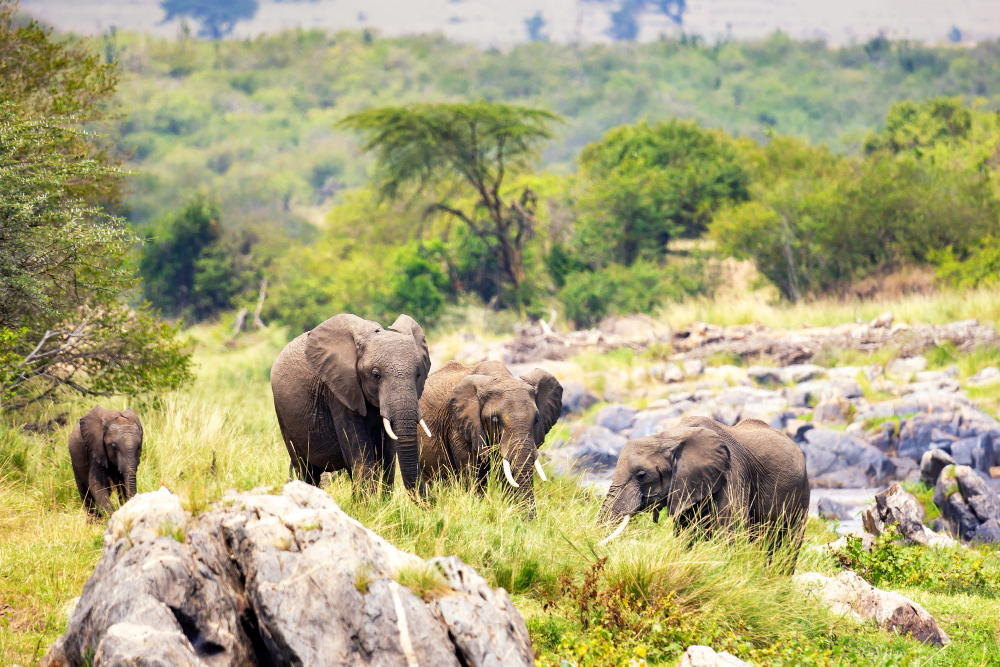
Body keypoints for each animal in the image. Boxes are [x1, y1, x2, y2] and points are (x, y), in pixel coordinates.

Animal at [270, 313, 432, 496]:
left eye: (418, 374)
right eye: (376, 375)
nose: (430, 500)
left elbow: (387, 457)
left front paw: (379, 501)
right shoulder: (339, 390)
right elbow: (361, 456)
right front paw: (367, 504)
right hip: (284, 418)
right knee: (305, 470)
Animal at [598, 416, 809, 560]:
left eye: (642, 475)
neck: (670, 436)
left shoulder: (733, 473)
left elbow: (728, 533)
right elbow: (686, 534)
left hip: (801, 495)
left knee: (787, 547)